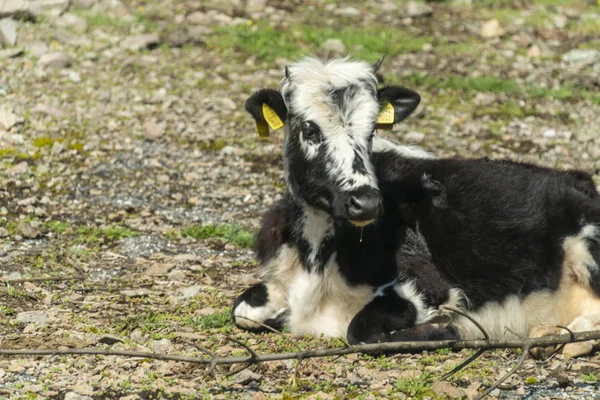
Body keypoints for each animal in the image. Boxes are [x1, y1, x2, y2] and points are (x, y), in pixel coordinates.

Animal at [231, 55, 600, 356]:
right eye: (309, 129)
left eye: (371, 131)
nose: (366, 202)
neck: (316, 265)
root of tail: (577, 178)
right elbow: (241, 310)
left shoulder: (428, 284)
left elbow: (362, 332)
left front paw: (451, 328)